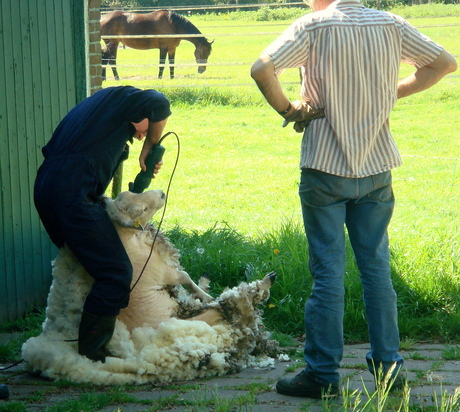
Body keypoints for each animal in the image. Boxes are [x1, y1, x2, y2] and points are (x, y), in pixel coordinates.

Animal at [22, 189, 276, 384]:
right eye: (140, 211)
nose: (162, 193)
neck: (127, 239)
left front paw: (204, 287)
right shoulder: (165, 271)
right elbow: (186, 278)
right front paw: (205, 294)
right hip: (220, 318)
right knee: (242, 303)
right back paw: (264, 282)